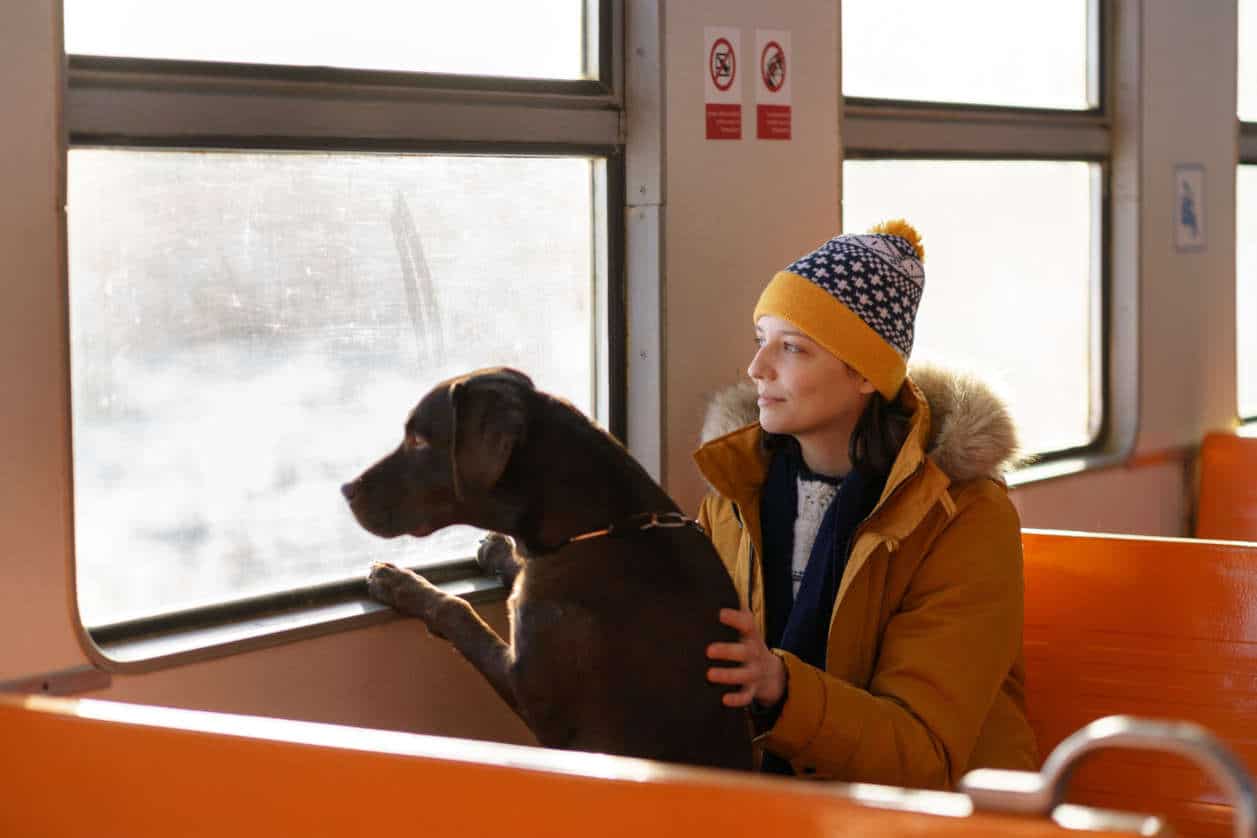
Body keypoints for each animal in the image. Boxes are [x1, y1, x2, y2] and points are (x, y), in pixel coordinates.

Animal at [339, 369, 749, 768]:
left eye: (419, 441)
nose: (347, 489)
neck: (597, 529)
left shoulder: (531, 693)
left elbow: (457, 610)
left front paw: (399, 583)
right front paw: (497, 549)